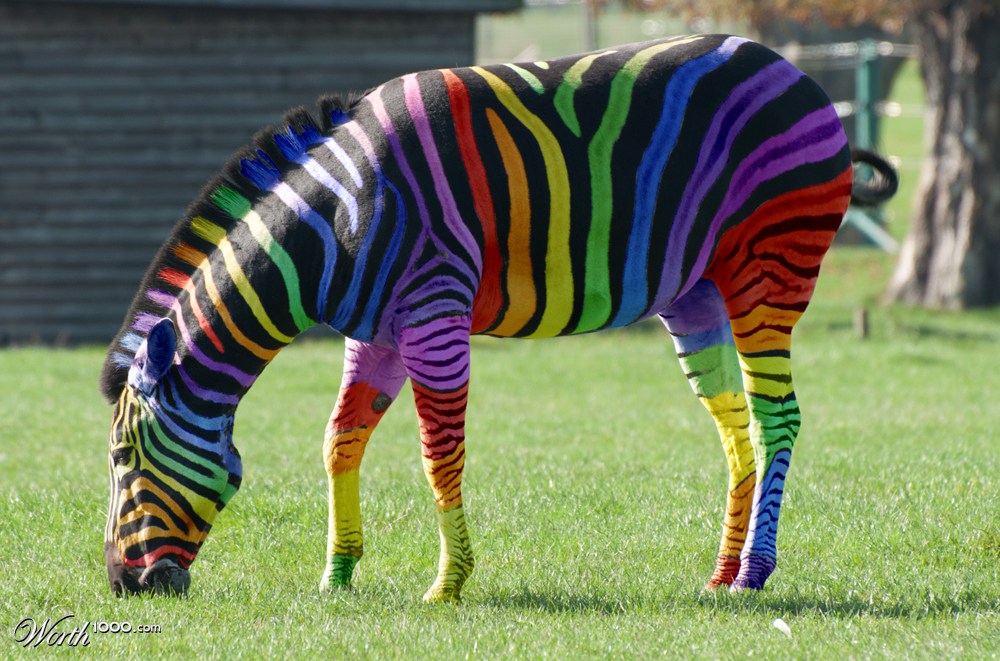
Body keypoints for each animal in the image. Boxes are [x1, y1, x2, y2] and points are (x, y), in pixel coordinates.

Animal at [100, 34, 897, 600]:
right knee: (735, 424)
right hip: (695, 291)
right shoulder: (376, 332)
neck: (340, 220)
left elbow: (438, 454)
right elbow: (339, 441)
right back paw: (722, 571)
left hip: (769, 269)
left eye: (121, 459)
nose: (125, 586)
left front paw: (447, 585)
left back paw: (756, 572)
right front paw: (338, 575)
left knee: (777, 417)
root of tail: (801, 81)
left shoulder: (434, 311)